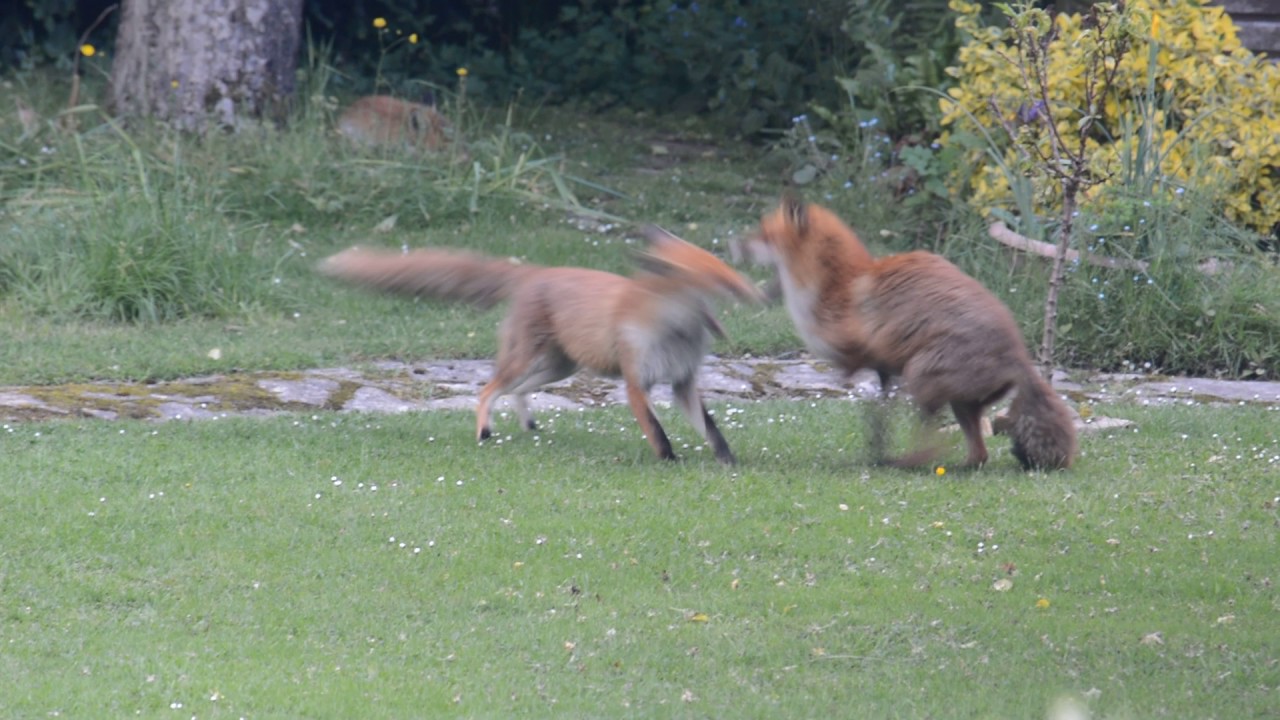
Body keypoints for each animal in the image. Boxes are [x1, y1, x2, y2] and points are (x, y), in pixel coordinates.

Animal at [319, 227, 763, 464]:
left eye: (722, 267)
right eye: (712, 276)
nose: (753, 290)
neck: (673, 331)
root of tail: (536, 272)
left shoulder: (683, 381)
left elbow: (712, 429)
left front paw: (728, 462)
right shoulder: (636, 382)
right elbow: (657, 431)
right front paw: (670, 461)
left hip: (558, 368)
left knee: (515, 392)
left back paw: (526, 424)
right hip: (530, 360)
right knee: (487, 389)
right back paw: (485, 431)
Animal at [745, 196, 1077, 470]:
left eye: (764, 234)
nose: (737, 245)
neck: (836, 287)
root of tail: (1019, 355)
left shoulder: (864, 355)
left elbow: (869, 399)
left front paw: (876, 443)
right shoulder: (885, 370)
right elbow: (881, 410)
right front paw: (876, 439)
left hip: (921, 377)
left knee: (937, 444)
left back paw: (904, 462)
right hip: (961, 404)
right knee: (979, 453)